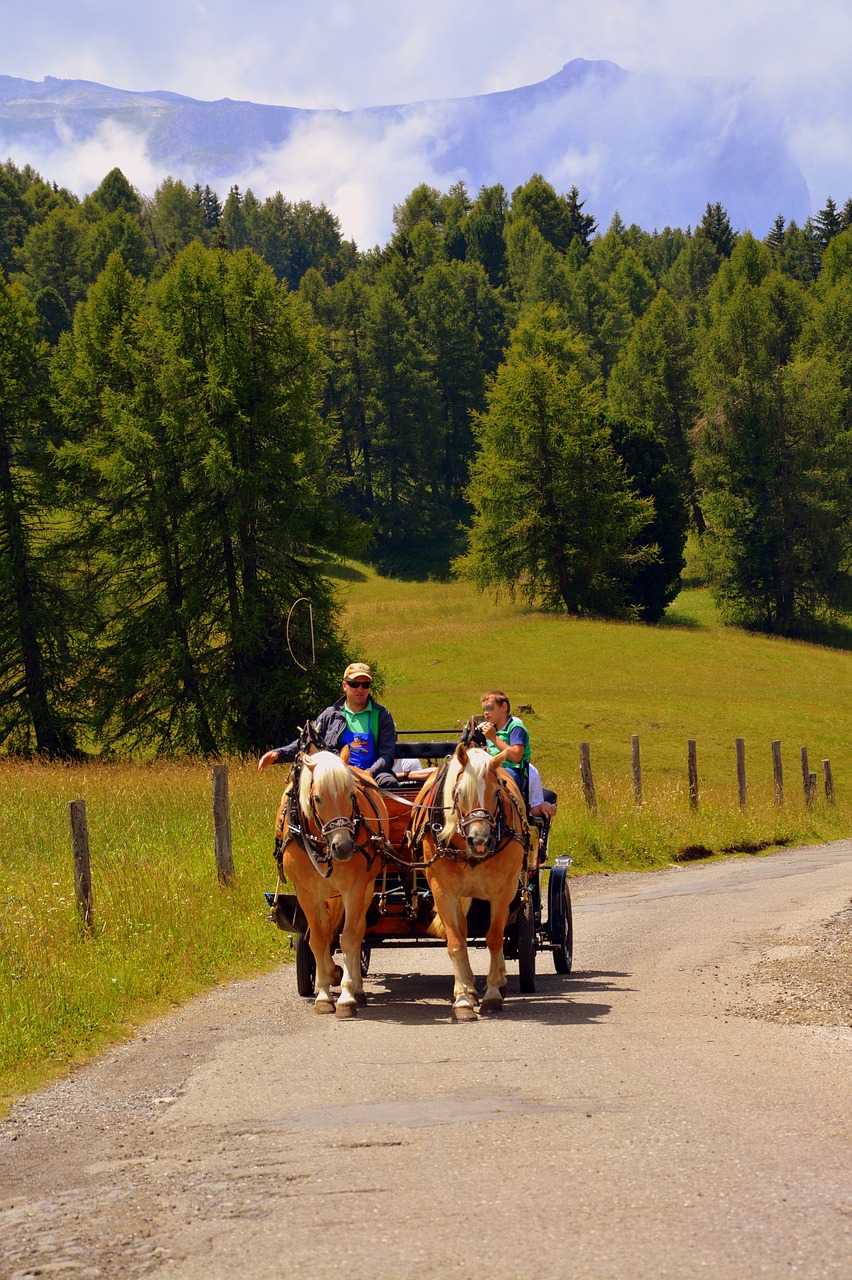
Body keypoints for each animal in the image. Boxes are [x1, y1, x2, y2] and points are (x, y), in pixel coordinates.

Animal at [275, 747, 388, 1013]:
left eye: (351, 795)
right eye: (317, 798)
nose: (343, 847)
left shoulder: (354, 889)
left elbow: (349, 939)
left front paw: (347, 996)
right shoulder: (306, 893)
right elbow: (316, 940)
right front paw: (325, 994)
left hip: (366, 889)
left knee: (358, 932)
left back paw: (357, 987)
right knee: (326, 929)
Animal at [409, 742, 524, 1018]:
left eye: (497, 792)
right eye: (458, 793)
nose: (479, 840)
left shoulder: (503, 892)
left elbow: (495, 939)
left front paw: (492, 994)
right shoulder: (443, 892)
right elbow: (456, 942)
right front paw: (462, 999)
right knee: (461, 931)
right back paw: (469, 988)